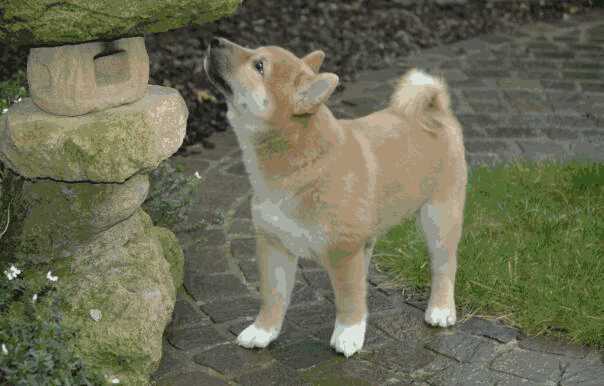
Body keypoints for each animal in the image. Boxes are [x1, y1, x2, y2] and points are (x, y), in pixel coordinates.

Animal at [203, 37, 468, 358]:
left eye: (259, 66)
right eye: (255, 53)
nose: (214, 40)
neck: (300, 166)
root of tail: (435, 110)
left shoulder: (344, 251)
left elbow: (349, 299)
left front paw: (349, 333)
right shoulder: (274, 245)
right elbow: (273, 296)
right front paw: (263, 331)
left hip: (439, 217)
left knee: (444, 265)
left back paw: (441, 309)